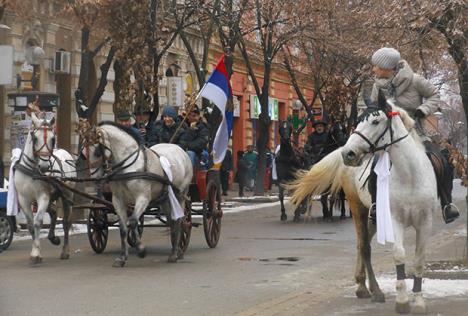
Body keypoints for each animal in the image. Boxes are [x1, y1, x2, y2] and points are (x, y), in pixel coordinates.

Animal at [13, 112, 76, 262]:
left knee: (66, 222)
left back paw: (65, 250)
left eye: (53, 139)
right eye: (35, 138)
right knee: (53, 213)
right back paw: (53, 237)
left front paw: (36, 253)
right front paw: (36, 249)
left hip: (67, 195)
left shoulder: (43, 196)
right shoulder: (23, 199)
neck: (32, 171)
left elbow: (38, 221)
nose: (45, 166)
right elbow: (30, 225)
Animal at [88, 121, 193, 266]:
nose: (94, 178)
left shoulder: (143, 198)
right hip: (165, 199)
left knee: (180, 221)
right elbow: (123, 228)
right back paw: (175, 251)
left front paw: (141, 250)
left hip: (180, 195)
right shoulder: (118, 200)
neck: (128, 167)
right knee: (171, 221)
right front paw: (122, 258)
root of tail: (181, 150)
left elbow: (132, 222)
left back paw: (176, 253)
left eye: (98, 151)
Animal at [288, 92, 438, 314]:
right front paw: (402, 301)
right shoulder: (395, 220)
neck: (409, 176)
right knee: (364, 246)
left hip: (373, 217)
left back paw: (363, 285)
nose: (348, 153)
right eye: (357, 121)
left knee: (363, 243)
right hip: (357, 208)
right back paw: (372, 290)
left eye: (375, 121)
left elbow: (419, 260)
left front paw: (418, 302)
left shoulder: (425, 222)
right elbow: (399, 255)